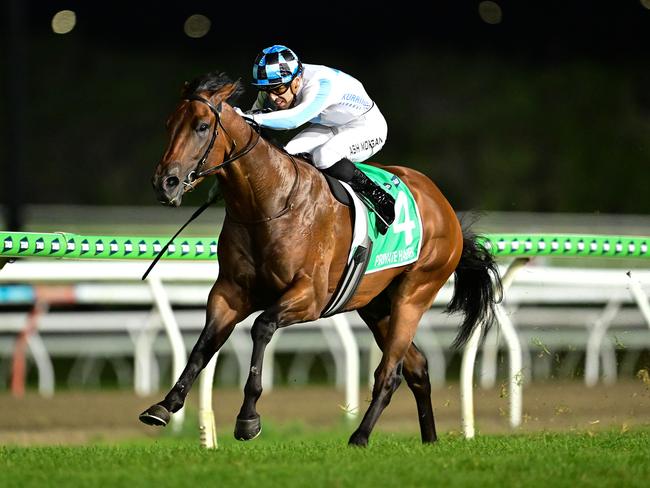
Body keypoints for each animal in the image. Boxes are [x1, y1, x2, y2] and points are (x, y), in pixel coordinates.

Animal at [139, 71, 498, 446]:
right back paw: (429, 439)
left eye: (202, 126)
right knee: (416, 368)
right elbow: (203, 345)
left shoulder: (309, 297)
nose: (165, 182)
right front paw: (165, 405)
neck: (268, 202)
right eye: (169, 124)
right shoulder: (229, 293)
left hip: (414, 293)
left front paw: (248, 417)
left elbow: (262, 327)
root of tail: (442, 204)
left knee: (390, 373)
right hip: (376, 305)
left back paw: (360, 437)